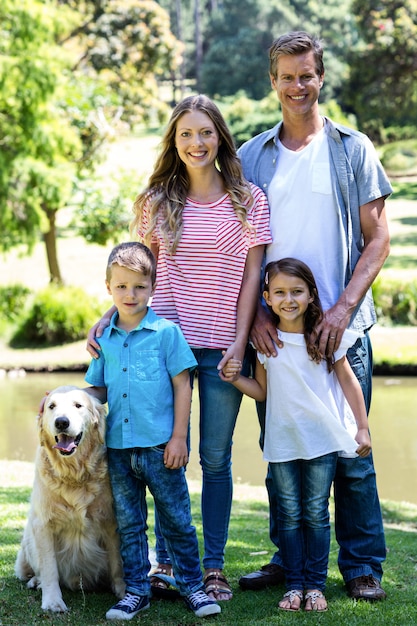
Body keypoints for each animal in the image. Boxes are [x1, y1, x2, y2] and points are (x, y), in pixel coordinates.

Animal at [15, 382, 125, 612]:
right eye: (51, 406)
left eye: (78, 405)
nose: (61, 422)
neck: (74, 474)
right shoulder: (43, 524)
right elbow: (49, 567)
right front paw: (52, 601)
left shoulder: (111, 521)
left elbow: (117, 562)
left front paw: (123, 590)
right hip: (27, 543)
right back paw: (36, 581)